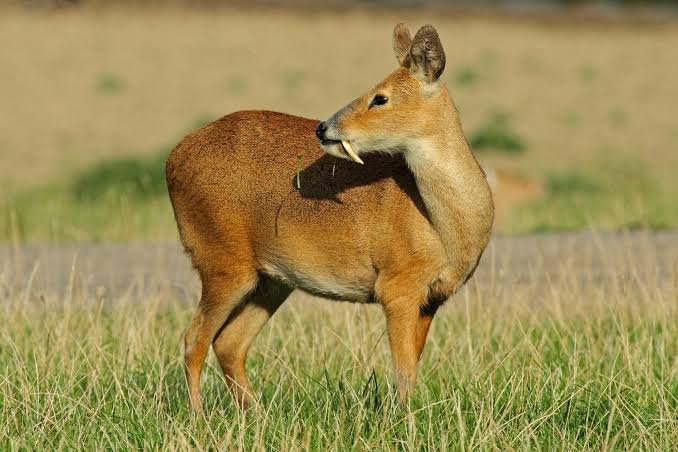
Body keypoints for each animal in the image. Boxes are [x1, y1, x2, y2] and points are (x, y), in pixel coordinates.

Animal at [165, 24, 494, 414]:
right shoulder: (397, 285)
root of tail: (173, 159)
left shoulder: (432, 298)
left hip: (270, 280)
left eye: (380, 98)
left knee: (228, 343)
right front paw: (404, 420)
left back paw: (258, 416)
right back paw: (200, 418)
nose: (323, 127)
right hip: (222, 262)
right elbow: (404, 371)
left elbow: (412, 365)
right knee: (193, 340)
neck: (445, 227)